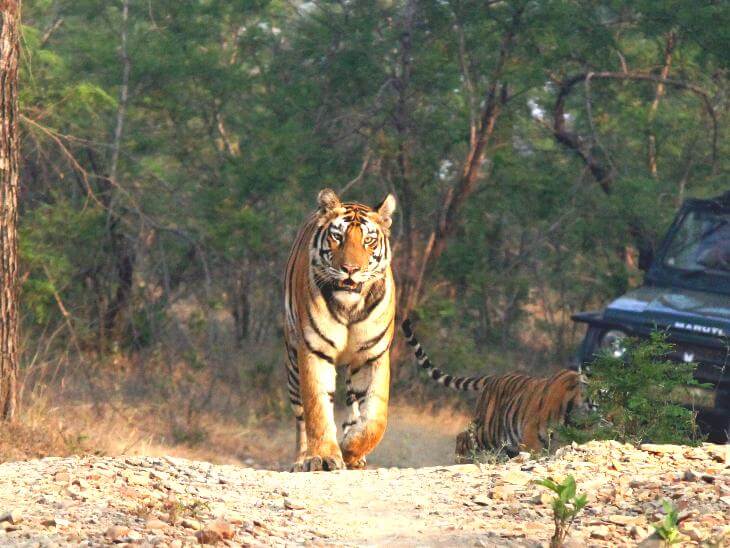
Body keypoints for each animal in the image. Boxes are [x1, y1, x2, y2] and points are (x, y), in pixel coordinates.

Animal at [284, 188, 396, 472]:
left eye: (368, 240)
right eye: (338, 237)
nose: (350, 270)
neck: (349, 307)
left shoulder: (372, 356)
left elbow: (375, 419)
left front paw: (350, 450)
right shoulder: (314, 350)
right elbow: (317, 408)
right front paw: (324, 456)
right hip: (292, 361)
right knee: (301, 417)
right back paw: (301, 460)